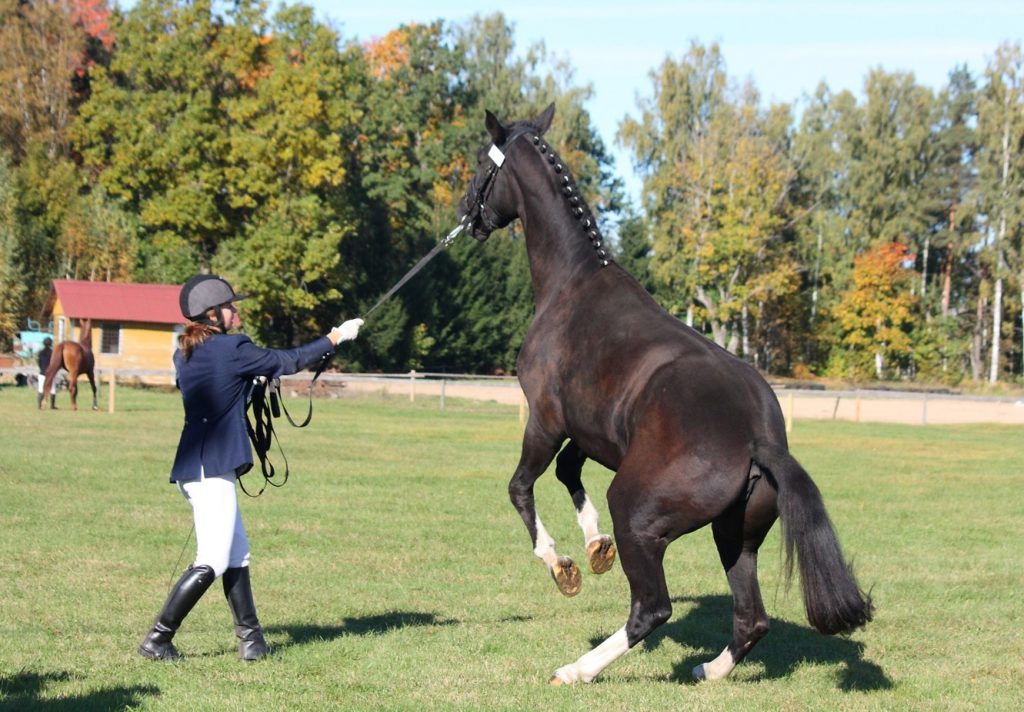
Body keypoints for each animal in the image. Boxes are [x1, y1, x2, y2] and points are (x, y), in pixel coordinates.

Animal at [456, 104, 872, 684]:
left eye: (481, 162)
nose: (467, 214)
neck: (573, 285)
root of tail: (758, 439)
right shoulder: (594, 433)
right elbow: (567, 471)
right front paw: (596, 546)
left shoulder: (545, 420)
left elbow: (521, 487)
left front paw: (564, 565)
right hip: (735, 536)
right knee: (752, 618)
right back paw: (708, 671)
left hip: (638, 514)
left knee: (651, 609)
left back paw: (577, 670)